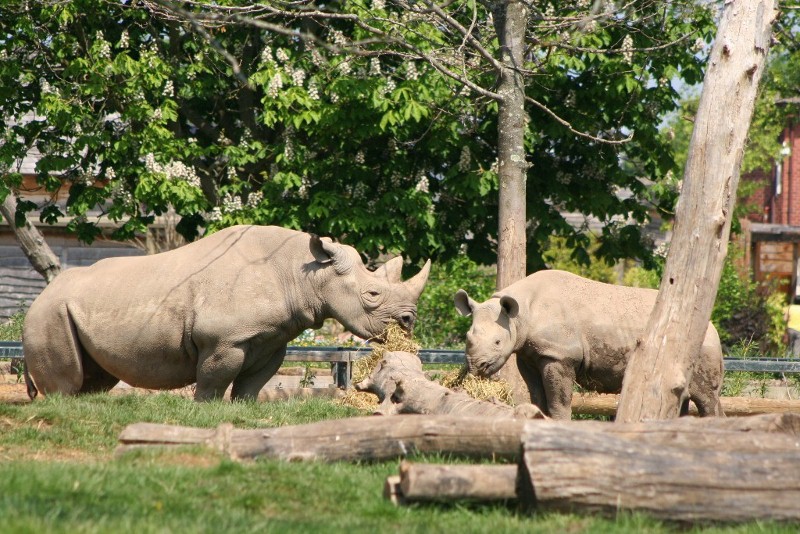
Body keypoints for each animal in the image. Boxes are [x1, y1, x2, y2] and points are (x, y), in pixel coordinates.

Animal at [23, 225, 430, 401]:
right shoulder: (224, 339)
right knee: (67, 381)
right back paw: (64, 405)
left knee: (97, 376)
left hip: (72, 307)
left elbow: (254, 383)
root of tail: (41, 295)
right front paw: (205, 412)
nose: (409, 321)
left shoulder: (272, 338)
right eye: (372, 294)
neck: (306, 272)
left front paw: (243, 411)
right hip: (49, 314)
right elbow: (213, 381)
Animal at [454, 269, 724, 420]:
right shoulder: (529, 355)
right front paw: (536, 418)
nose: (477, 366)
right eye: (467, 338)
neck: (520, 315)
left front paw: (559, 424)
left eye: (498, 342)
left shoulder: (559, 355)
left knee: (705, 397)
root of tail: (713, 327)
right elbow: (537, 396)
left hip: (704, 346)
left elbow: (559, 401)